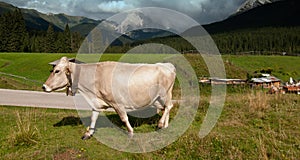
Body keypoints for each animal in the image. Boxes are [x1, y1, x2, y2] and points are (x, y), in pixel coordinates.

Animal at [42, 57, 176, 139]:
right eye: (53, 69)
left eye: (57, 71)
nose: (44, 86)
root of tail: (166, 65)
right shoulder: (96, 103)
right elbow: (93, 118)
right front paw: (88, 133)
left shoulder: (117, 103)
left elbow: (124, 118)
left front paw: (131, 132)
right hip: (158, 98)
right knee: (166, 107)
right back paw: (165, 125)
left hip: (165, 94)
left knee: (169, 106)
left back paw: (160, 124)